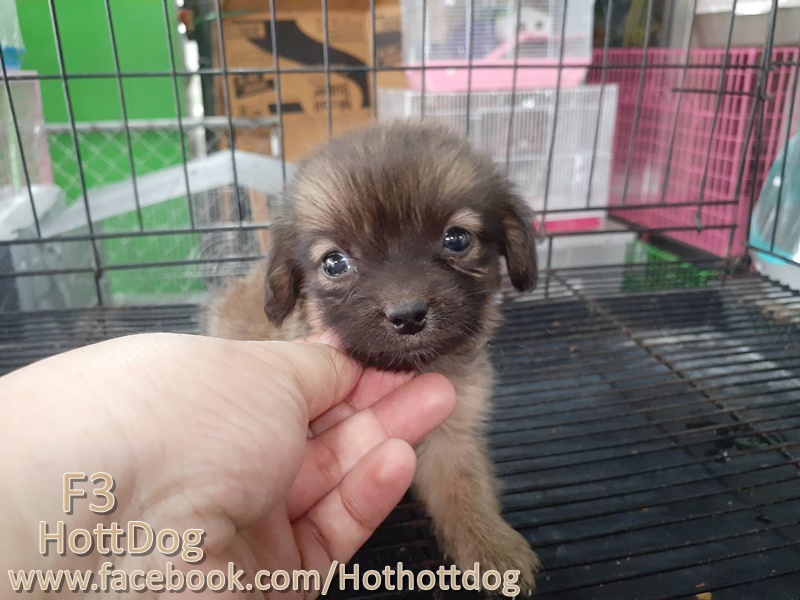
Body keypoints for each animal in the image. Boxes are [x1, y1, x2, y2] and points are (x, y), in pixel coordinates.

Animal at [205, 120, 542, 594]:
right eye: (334, 263)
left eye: (457, 239)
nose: (408, 315)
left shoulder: (452, 434)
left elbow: (465, 491)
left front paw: (491, 545)